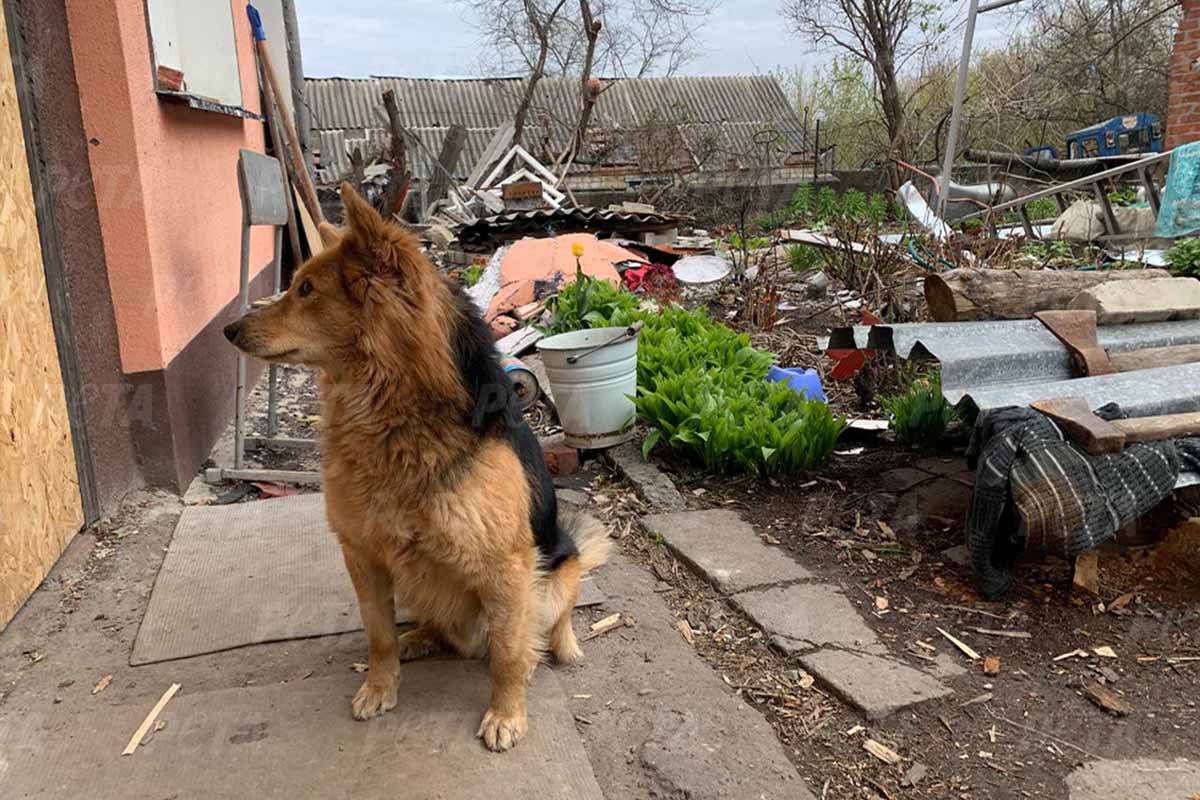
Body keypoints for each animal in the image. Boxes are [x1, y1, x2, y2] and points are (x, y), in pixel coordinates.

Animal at [226, 181, 609, 753]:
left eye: (307, 289)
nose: (229, 328)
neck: (391, 412)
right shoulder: (362, 554)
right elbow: (378, 634)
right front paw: (380, 687)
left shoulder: (507, 568)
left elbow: (507, 654)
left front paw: (506, 712)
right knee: (442, 625)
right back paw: (422, 637)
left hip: (552, 574)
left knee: (545, 621)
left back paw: (554, 648)